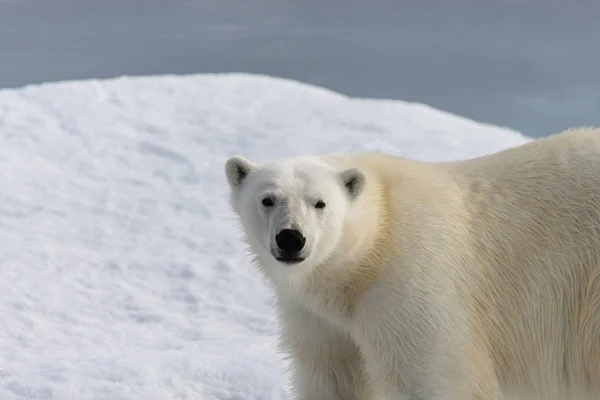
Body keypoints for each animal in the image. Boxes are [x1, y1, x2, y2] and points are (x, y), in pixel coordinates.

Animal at [223, 126, 600, 398]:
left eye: (320, 203)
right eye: (268, 199)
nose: (291, 238)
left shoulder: (411, 281)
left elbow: (435, 376)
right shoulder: (317, 318)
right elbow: (333, 375)